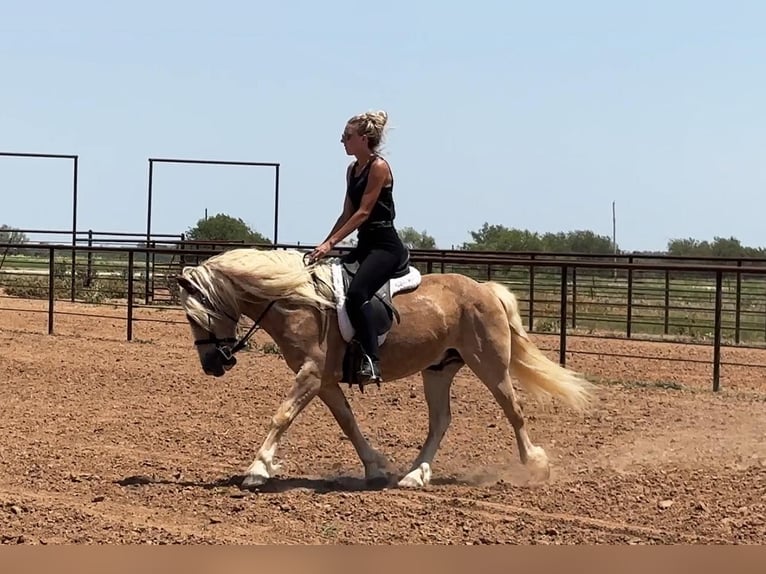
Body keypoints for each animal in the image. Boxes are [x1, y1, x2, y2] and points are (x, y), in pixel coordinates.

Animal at [177, 246, 596, 490]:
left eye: (197, 315)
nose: (213, 365)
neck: (299, 301)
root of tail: (485, 289)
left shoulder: (311, 373)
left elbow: (281, 416)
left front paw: (257, 470)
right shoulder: (324, 380)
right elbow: (348, 422)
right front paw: (376, 468)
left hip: (489, 364)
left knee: (514, 411)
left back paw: (535, 466)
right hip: (438, 370)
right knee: (441, 420)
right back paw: (414, 475)